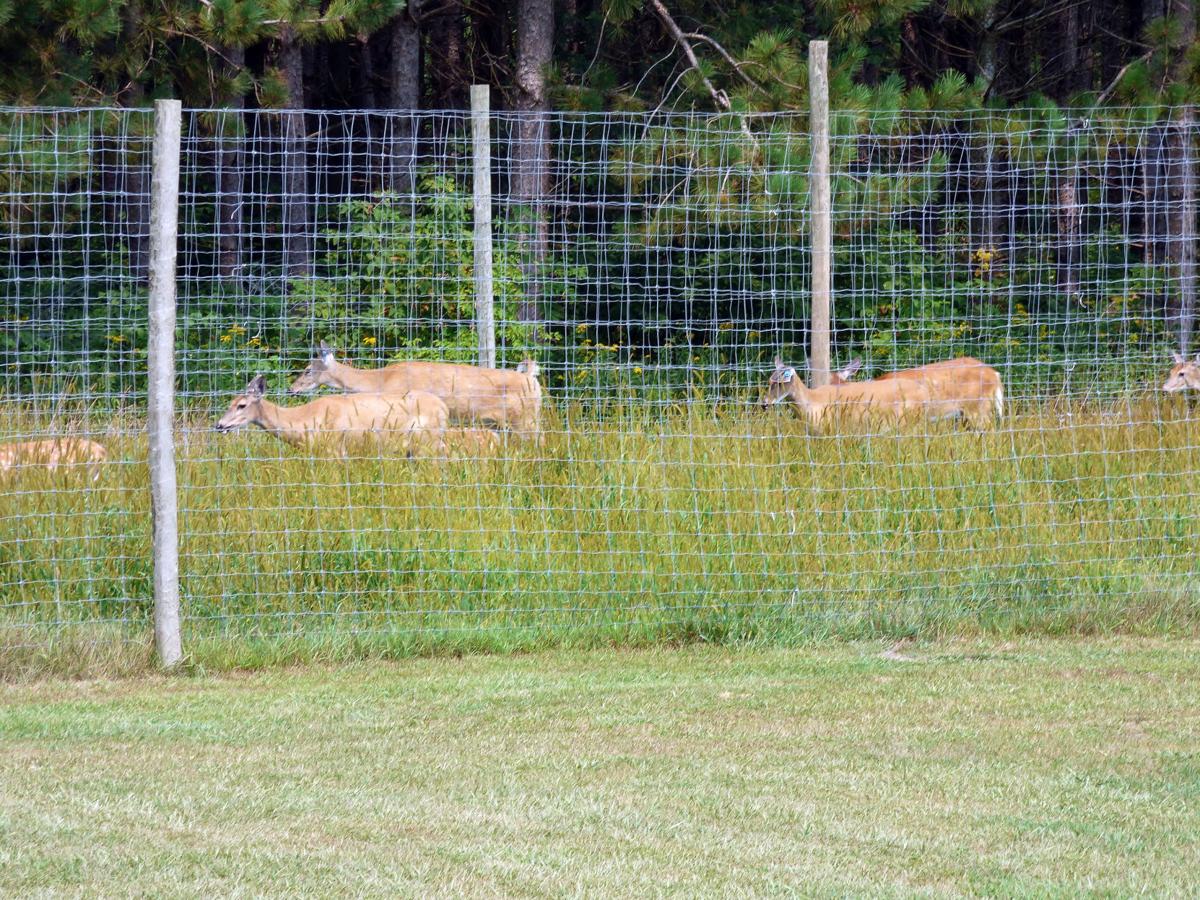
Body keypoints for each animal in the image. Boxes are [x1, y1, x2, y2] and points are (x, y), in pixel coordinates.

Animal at [215, 375, 450, 455]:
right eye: (230, 403)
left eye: (242, 405)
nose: (219, 425)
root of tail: (444, 408)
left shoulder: (336, 450)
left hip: (428, 442)